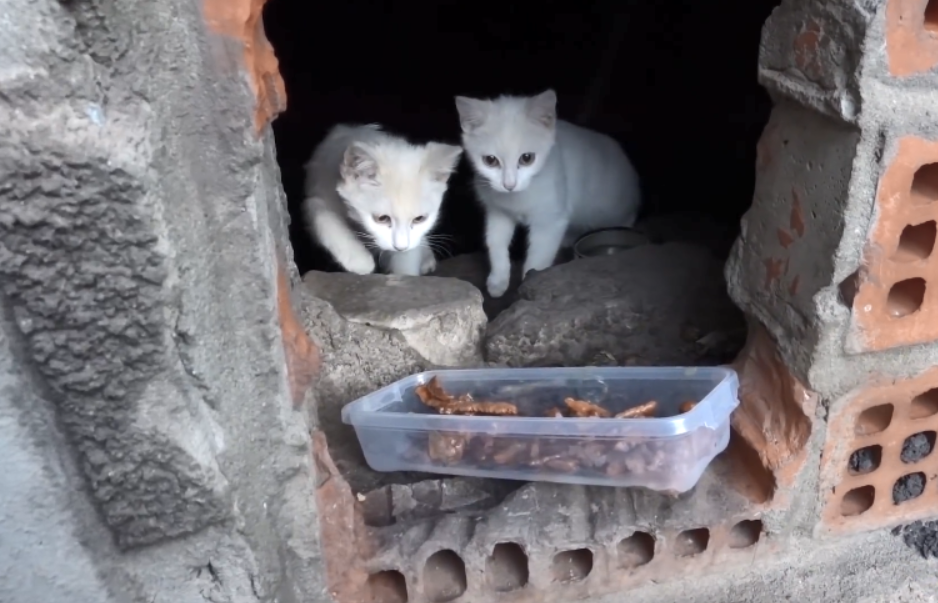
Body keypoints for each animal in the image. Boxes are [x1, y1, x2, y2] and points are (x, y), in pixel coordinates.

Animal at [302, 125, 462, 276]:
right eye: (382, 218)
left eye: (419, 219)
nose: (400, 247)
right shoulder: (318, 189)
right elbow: (320, 212)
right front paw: (358, 259)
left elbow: (406, 261)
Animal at [456, 89, 644, 298]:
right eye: (490, 160)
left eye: (527, 158)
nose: (509, 184)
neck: (517, 198)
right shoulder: (498, 212)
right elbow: (495, 243)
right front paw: (498, 280)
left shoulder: (549, 221)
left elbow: (538, 259)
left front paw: (529, 285)